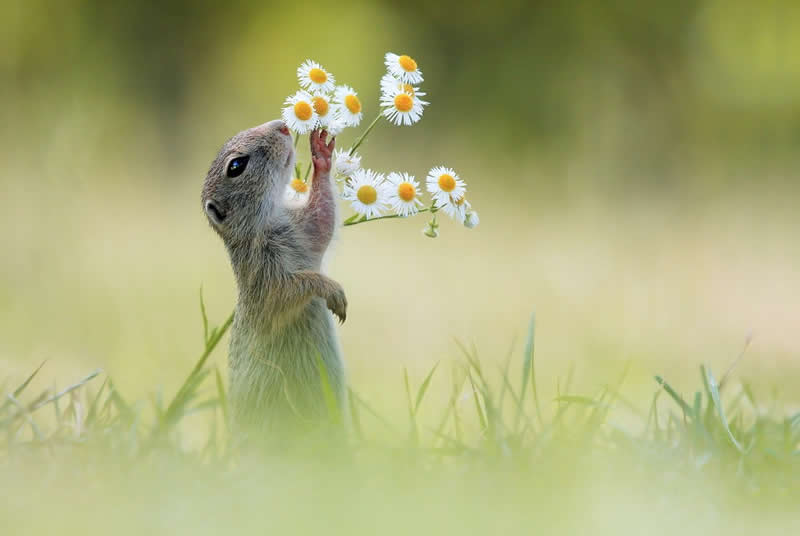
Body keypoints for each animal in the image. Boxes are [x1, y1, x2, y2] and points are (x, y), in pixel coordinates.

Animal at [201, 120, 347, 435]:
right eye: (236, 166)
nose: (281, 126)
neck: (268, 223)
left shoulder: (305, 230)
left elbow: (323, 218)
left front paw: (321, 152)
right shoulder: (264, 276)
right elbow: (288, 290)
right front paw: (331, 290)